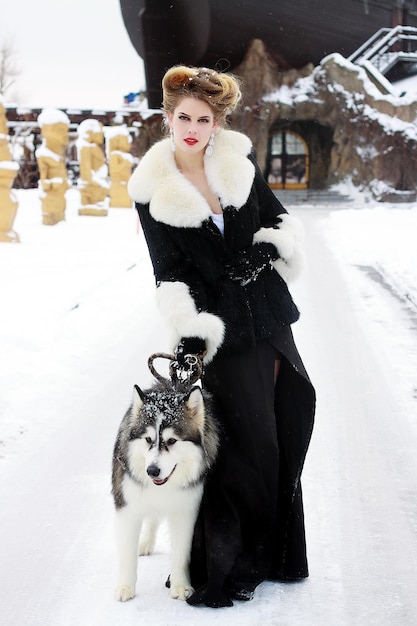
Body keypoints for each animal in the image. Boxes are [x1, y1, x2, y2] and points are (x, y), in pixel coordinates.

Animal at [112, 376, 219, 600]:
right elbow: (127, 553)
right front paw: (125, 587)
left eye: (171, 440)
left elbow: (182, 553)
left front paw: (180, 586)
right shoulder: (127, 507)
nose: (152, 471)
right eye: (148, 439)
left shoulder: (185, 510)